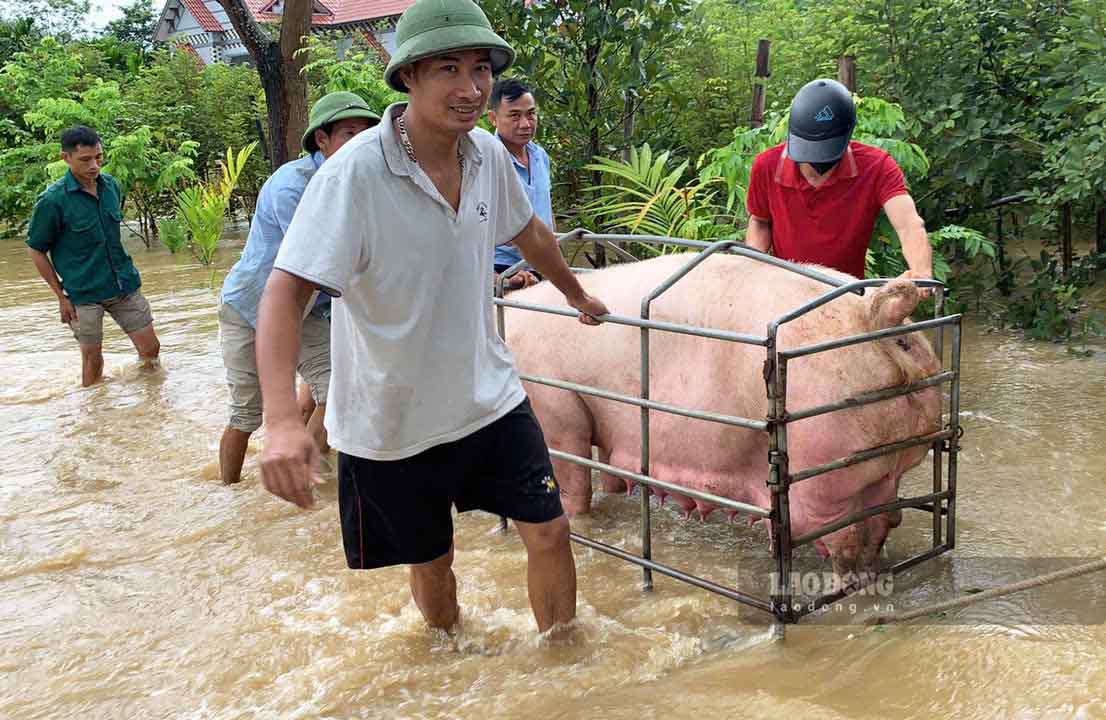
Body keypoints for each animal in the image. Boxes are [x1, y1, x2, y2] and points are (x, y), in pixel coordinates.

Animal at [504, 251, 942, 579]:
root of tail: (874, 318)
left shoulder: (557, 410)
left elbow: (574, 483)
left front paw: (580, 524)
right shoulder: (610, 428)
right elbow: (612, 474)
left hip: (828, 469)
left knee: (843, 538)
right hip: (885, 465)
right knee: (885, 520)